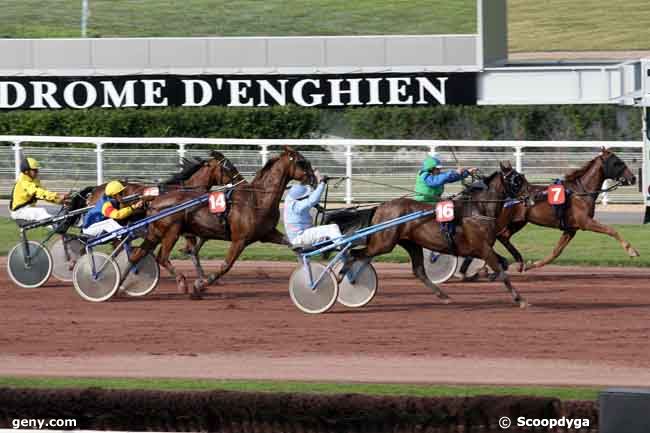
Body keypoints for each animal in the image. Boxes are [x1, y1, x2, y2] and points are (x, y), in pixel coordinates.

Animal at [128, 145, 316, 296]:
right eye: (302, 162)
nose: (315, 179)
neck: (256, 200)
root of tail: (154, 201)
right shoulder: (240, 239)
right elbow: (225, 265)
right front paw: (200, 285)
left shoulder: (268, 234)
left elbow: (295, 246)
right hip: (171, 232)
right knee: (161, 257)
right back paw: (181, 282)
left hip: (155, 232)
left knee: (137, 255)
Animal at [340, 162, 532, 308]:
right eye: (517, 180)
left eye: (522, 177)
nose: (532, 196)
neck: (478, 209)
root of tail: (379, 207)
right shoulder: (482, 248)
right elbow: (502, 272)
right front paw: (520, 299)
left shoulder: (482, 249)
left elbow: (503, 263)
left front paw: (488, 274)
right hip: (383, 244)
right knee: (353, 254)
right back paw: (344, 277)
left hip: (411, 244)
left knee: (419, 271)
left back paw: (444, 296)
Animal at [494, 148, 636, 270]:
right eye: (617, 163)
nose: (633, 178)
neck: (580, 192)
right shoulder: (585, 222)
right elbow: (611, 230)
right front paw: (632, 251)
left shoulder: (570, 229)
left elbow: (556, 251)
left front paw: (532, 265)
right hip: (503, 221)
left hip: (518, 222)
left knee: (503, 236)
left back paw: (515, 262)